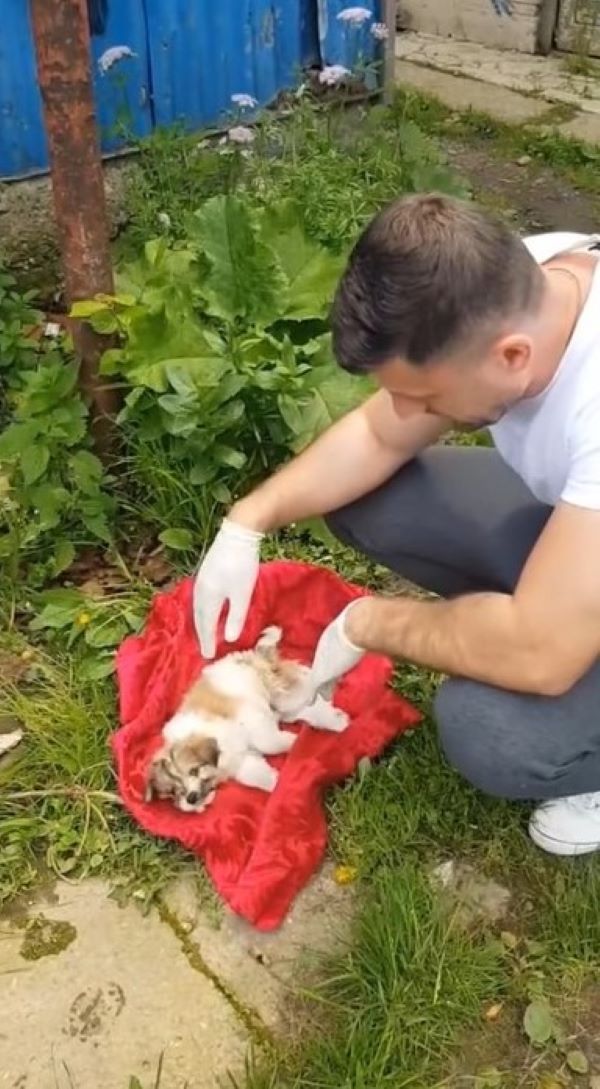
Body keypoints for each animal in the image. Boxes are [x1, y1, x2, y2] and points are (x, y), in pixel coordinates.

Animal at [147, 631, 350, 810]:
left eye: (193, 771)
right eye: (175, 791)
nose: (191, 798)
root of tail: (252, 655)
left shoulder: (249, 717)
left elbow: (269, 742)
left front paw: (293, 742)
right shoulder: (242, 760)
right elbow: (254, 773)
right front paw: (275, 781)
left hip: (280, 693)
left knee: (306, 687)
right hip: (284, 704)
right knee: (303, 709)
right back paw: (334, 719)